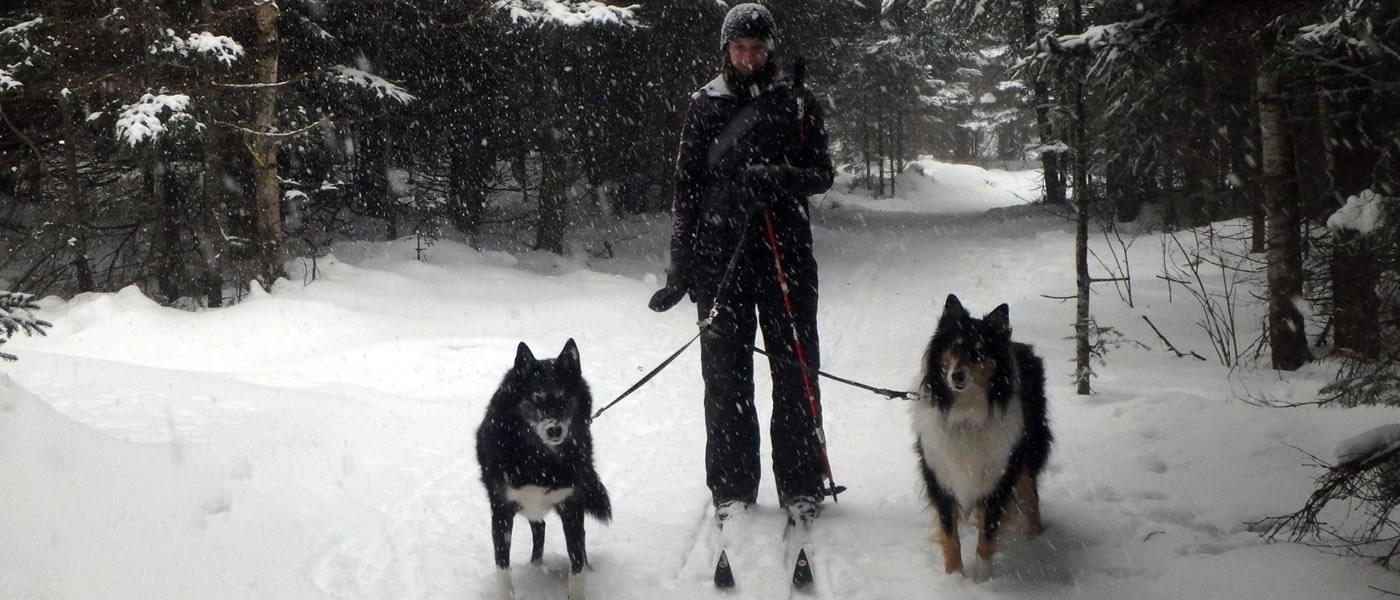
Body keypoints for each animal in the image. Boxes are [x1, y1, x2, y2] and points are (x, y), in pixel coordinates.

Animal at [478, 338, 610, 595]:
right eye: (536, 399)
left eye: (565, 399)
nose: (554, 430)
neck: (538, 458)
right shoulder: (501, 510)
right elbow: (502, 568)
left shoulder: (572, 507)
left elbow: (577, 563)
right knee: (539, 528)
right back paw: (535, 568)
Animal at [907, 295, 1052, 579]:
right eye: (954, 346)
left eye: (980, 351)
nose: (957, 376)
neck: (966, 415)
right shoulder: (940, 476)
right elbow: (950, 537)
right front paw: (955, 579)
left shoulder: (998, 478)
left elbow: (987, 538)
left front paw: (982, 580)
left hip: (1026, 456)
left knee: (1031, 500)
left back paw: (1037, 541)